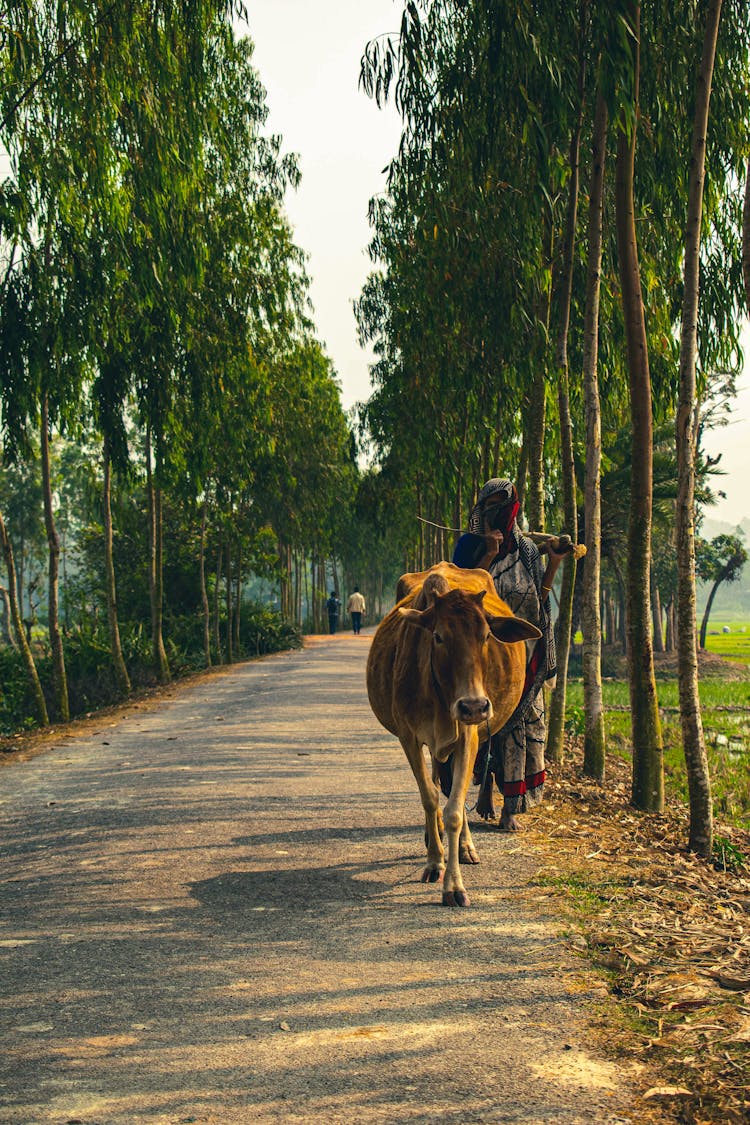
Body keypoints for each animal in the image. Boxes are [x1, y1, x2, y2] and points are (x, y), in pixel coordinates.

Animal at [364, 558, 537, 909]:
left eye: (486, 636)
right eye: (439, 636)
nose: (474, 706)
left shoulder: (468, 737)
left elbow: (455, 808)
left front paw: (454, 885)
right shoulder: (408, 737)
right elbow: (430, 797)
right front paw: (434, 861)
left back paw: (465, 847)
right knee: (435, 787)